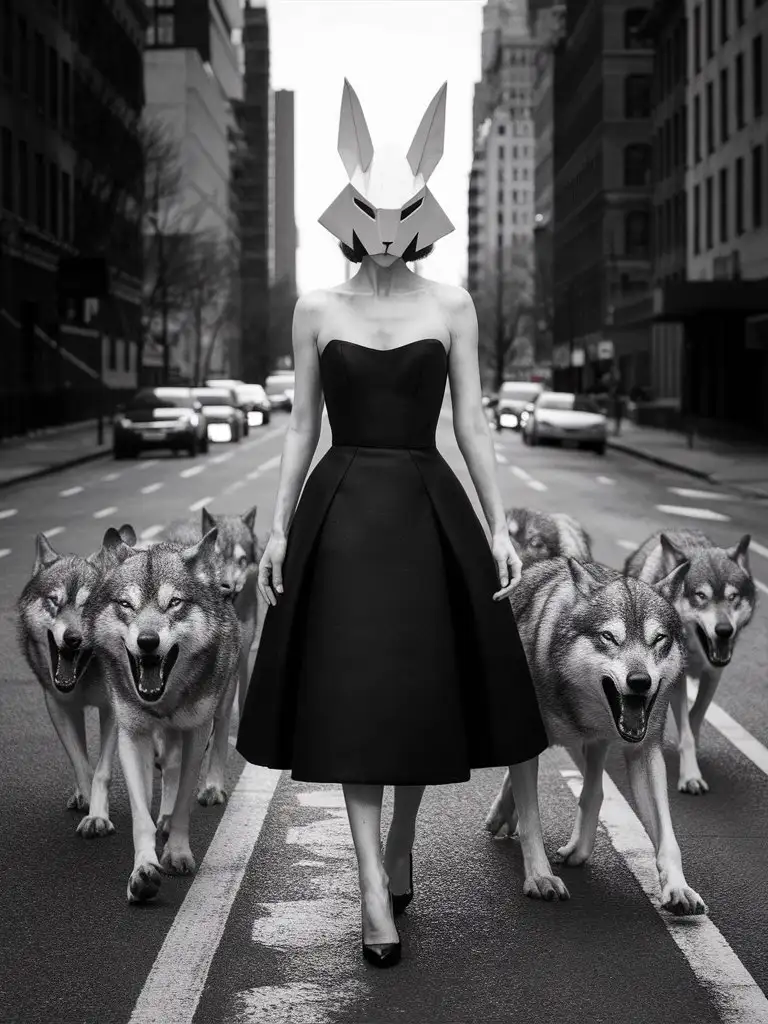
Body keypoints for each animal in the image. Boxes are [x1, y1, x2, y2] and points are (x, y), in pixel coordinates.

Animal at [18, 524, 137, 835]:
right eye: (54, 601)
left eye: (89, 605)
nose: (73, 638)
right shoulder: (59, 706)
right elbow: (80, 762)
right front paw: (85, 799)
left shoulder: (113, 710)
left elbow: (102, 771)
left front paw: (98, 818)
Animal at [86, 532, 240, 901]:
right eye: (126, 604)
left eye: (174, 603)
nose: (147, 641)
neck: (163, 699)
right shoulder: (132, 735)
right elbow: (141, 813)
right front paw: (143, 871)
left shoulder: (197, 731)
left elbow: (184, 796)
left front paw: (178, 853)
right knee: (168, 766)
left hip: (222, 703)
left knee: (215, 743)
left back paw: (209, 790)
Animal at [165, 503, 268, 806]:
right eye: (216, 556)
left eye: (242, 560)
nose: (226, 586)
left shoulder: (229, 671)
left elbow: (220, 730)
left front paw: (212, 786)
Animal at [487, 557, 708, 917]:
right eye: (609, 637)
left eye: (659, 639)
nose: (640, 681)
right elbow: (532, 817)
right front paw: (540, 878)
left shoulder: (644, 749)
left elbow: (667, 835)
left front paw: (678, 888)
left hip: (593, 744)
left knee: (595, 789)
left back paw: (574, 847)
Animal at [626, 532, 757, 794]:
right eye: (701, 596)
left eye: (733, 597)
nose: (724, 630)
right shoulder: (677, 679)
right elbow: (685, 730)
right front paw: (690, 777)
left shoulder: (714, 675)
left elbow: (695, 717)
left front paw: (692, 759)